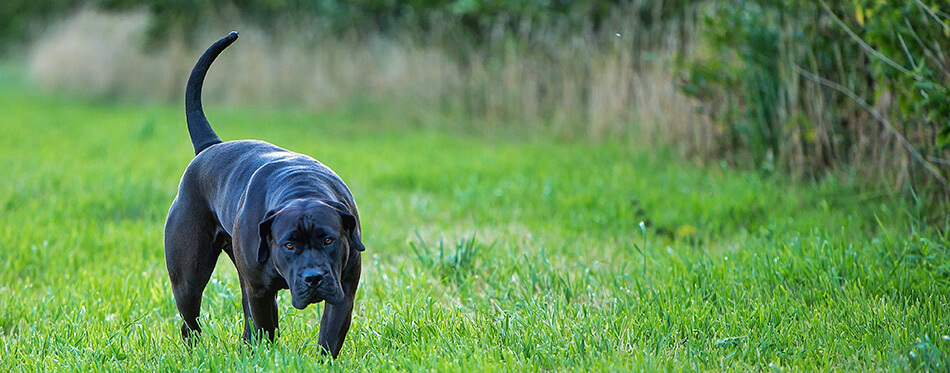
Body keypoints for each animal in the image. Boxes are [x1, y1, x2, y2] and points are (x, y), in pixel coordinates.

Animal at [165, 32, 364, 358]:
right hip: (189, 278)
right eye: (289, 245)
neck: (301, 188)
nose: (313, 278)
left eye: (328, 240)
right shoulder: (260, 290)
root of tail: (210, 146)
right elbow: (266, 329)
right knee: (189, 321)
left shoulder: (343, 289)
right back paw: (196, 351)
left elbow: (328, 338)